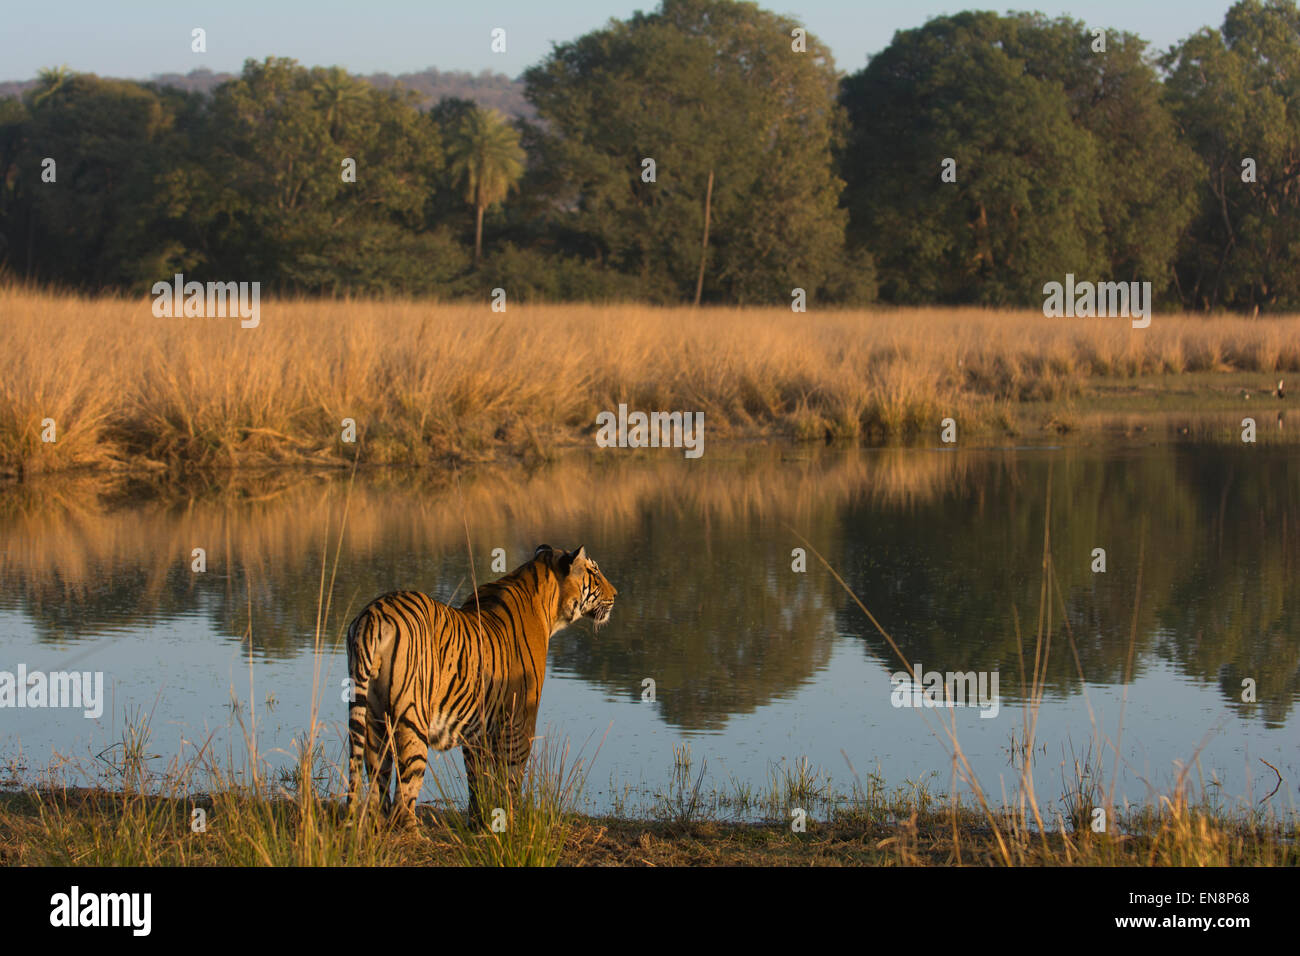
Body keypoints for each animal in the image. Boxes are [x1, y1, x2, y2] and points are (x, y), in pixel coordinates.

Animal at [340, 541, 613, 827]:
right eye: (595, 571)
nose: (615, 594)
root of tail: (372, 615)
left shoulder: (479, 729)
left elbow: (478, 780)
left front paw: (481, 822)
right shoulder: (520, 722)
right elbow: (510, 779)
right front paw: (511, 822)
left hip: (373, 720)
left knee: (376, 788)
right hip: (412, 720)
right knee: (404, 795)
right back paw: (412, 831)